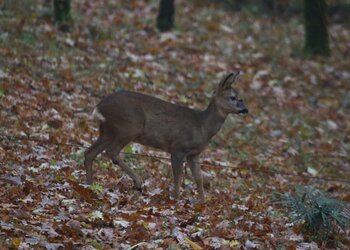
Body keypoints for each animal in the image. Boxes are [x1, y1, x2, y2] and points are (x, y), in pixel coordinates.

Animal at [85, 71, 247, 202]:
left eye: (240, 97)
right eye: (232, 97)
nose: (245, 109)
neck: (201, 126)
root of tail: (99, 107)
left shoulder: (194, 154)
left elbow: (199, 178)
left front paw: (202, 203)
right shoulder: (178, 148)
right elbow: (178, 176)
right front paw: (176, 199)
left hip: (107, 131)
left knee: (90, 152)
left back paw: (89, 184)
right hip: (129, 127)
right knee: (112, 151)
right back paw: (138, 183)